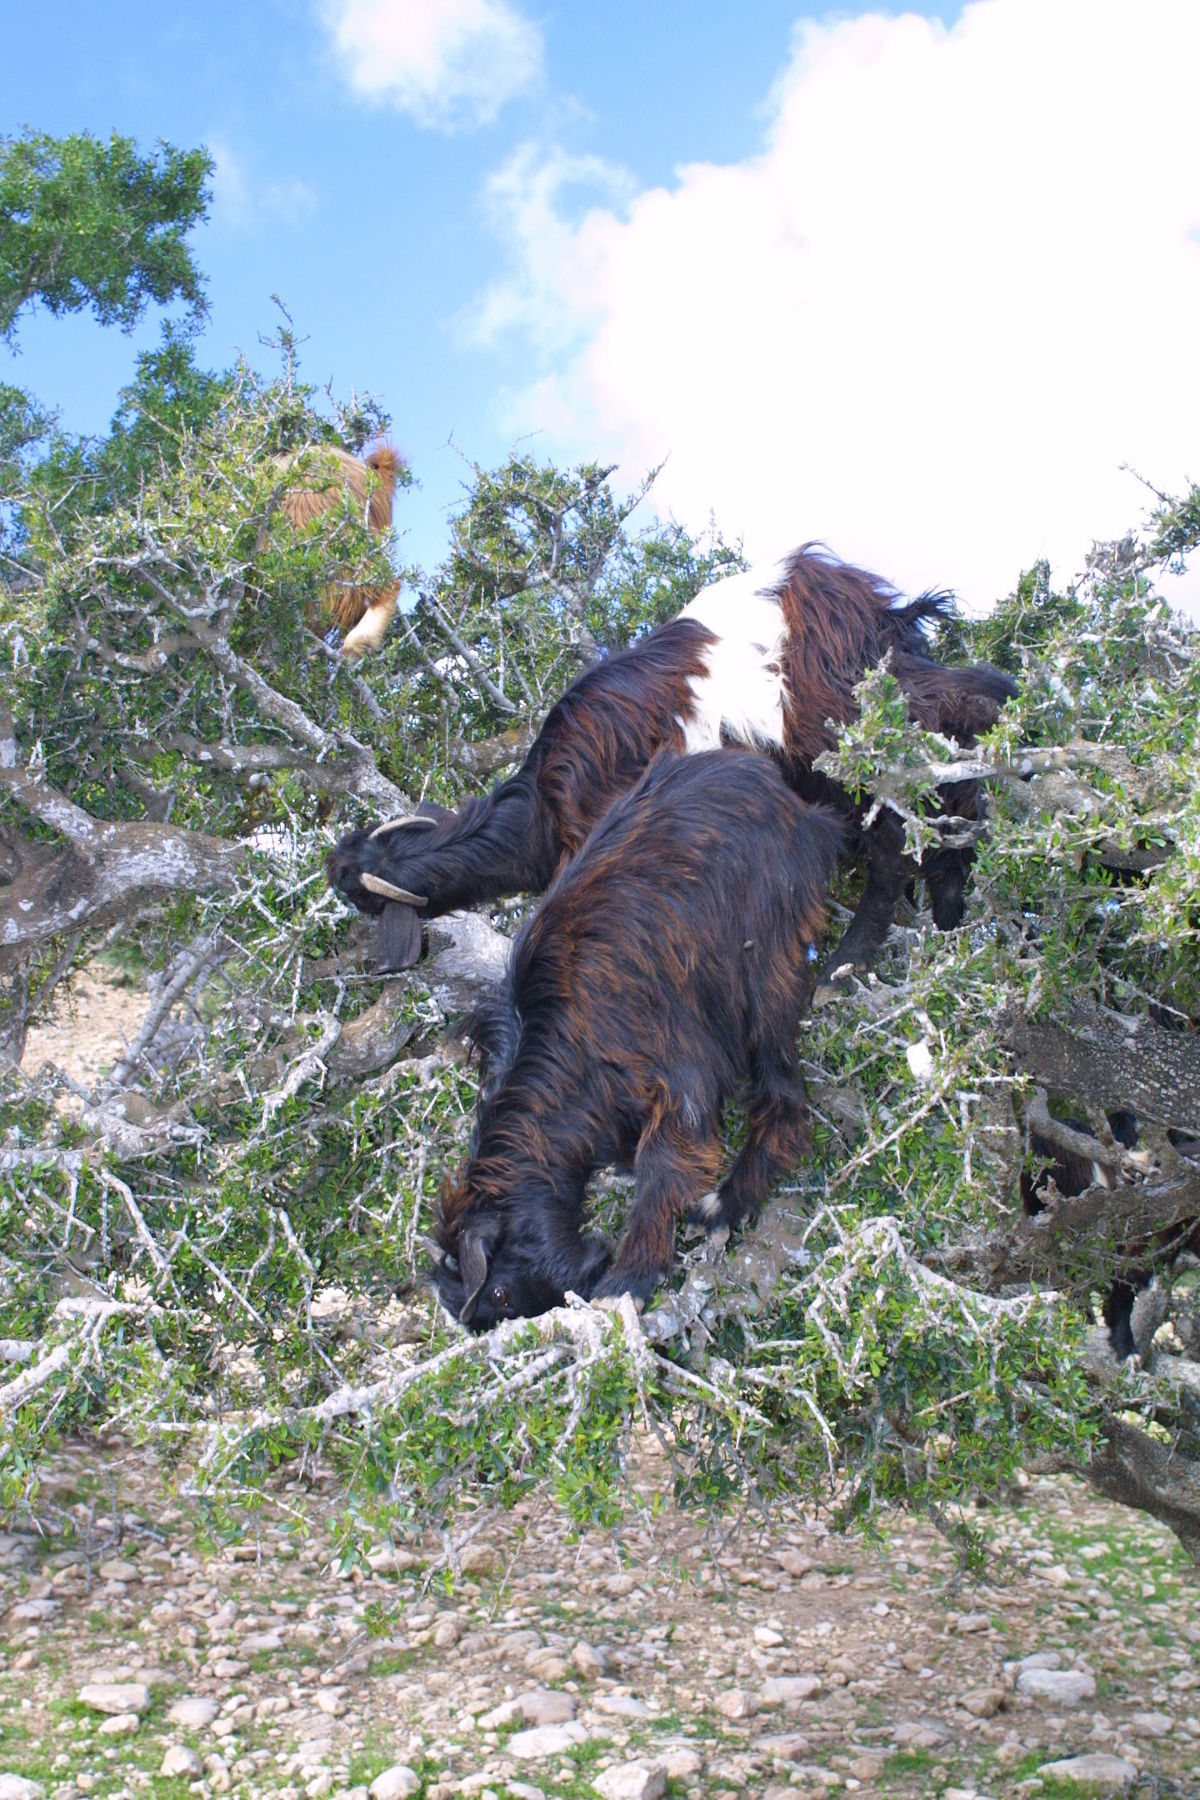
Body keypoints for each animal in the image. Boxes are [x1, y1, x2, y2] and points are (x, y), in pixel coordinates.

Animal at [329, 543, 1014, 979]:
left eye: (361, 896)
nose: (336, 869)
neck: (543, 810)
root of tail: (877, 609)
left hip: (845, 731)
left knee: (907, 813)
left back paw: (849, 963)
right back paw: (952, 909)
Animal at [431, 752, 845, 1332]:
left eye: (499, 1293)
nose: (586, 1278)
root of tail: (797, 809)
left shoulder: (675, 1062)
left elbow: (666, 1163)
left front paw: (630, 1277)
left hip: (766, 959)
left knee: (783, 1093)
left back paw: (727, 1203)